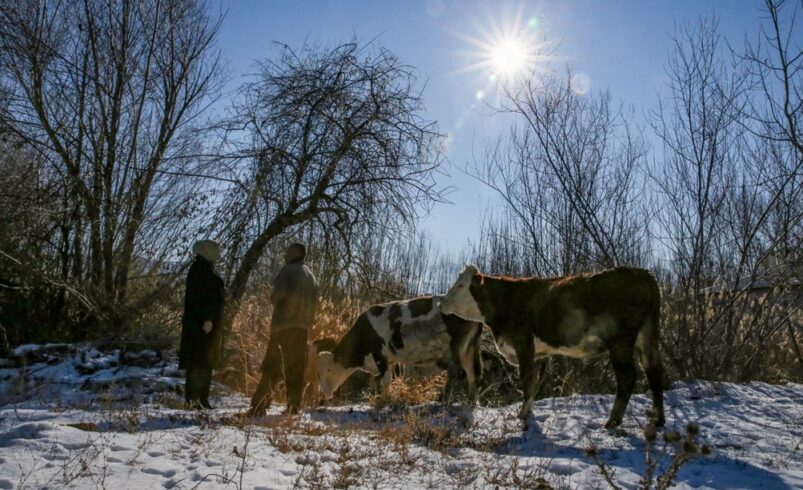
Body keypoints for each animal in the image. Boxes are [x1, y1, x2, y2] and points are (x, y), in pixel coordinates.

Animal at [318, 296, 484, 404]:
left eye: (328, 370)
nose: (323, 394)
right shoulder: (392, 359)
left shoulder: (381, 355)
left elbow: (385, 380)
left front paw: (381, 402)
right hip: (470, 349)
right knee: (473, 373)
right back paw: (471, 402)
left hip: (454, 349)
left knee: (455, 371)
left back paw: (442, 399)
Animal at [440, 264, 664, 428]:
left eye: (460, 285)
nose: (441, 303)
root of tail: (641, 273)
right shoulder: (538, 353)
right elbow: (534, 382)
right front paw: (528, 412)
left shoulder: (523, 343)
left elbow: (527, 380)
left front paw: (521, 416)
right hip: (647, 336)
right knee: (654, 372)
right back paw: (658, 420)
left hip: (620, 342)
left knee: (628, 377)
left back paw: (612, 422)